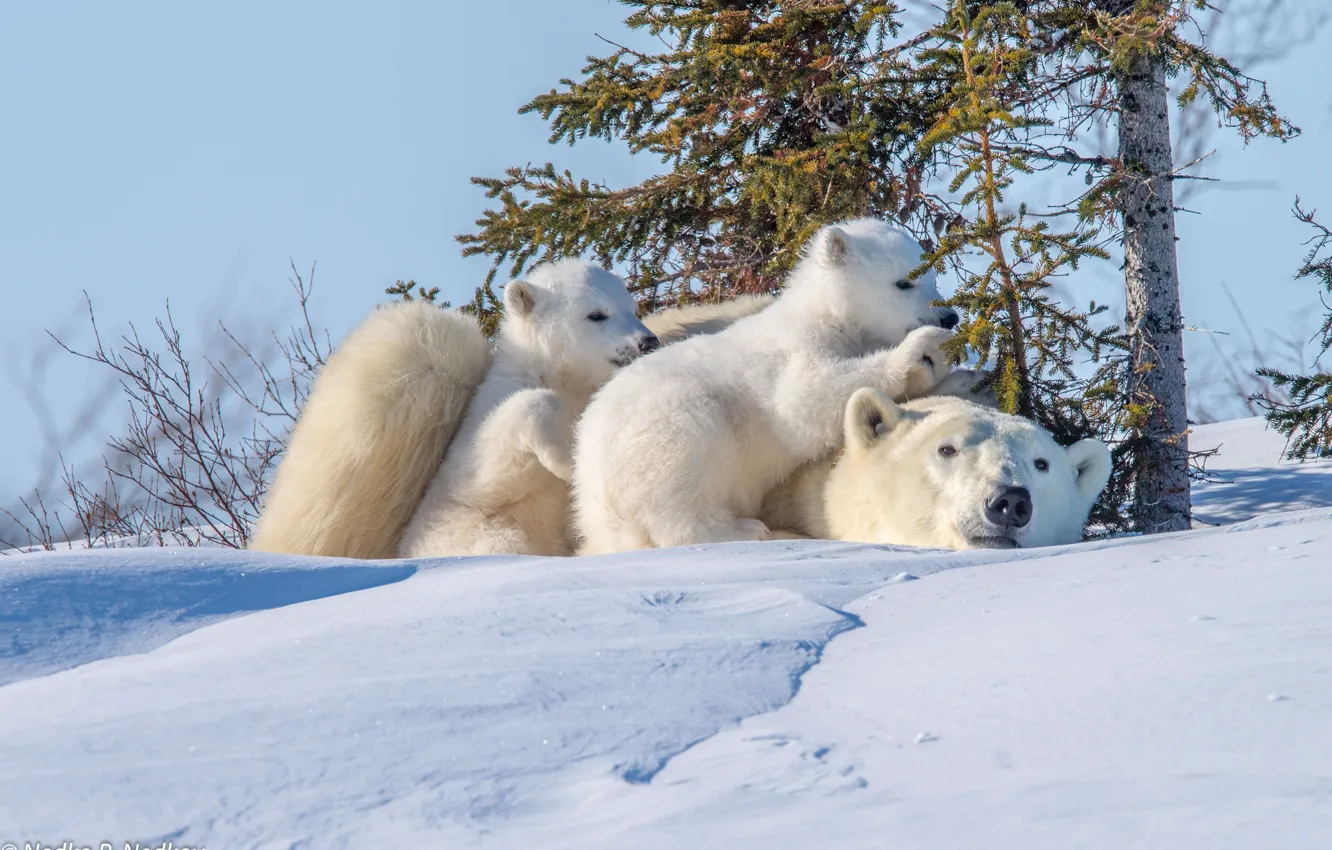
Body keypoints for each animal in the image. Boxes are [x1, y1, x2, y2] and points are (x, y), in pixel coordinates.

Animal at [397, 259, 660, 558]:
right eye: (597, 314)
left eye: (633, 309)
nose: (648, 342)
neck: (561, 376)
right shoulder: (468, 470)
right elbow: (493, 462)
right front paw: (567, 462)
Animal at [572, 218, 963, 554]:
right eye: (903, 282)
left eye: (931, 276)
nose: (949, 316)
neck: (832, 318)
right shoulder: (798, 349)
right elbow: (805, 401)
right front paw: (918, 348)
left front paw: (937, 366)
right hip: (664, 430)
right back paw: (744, 529)